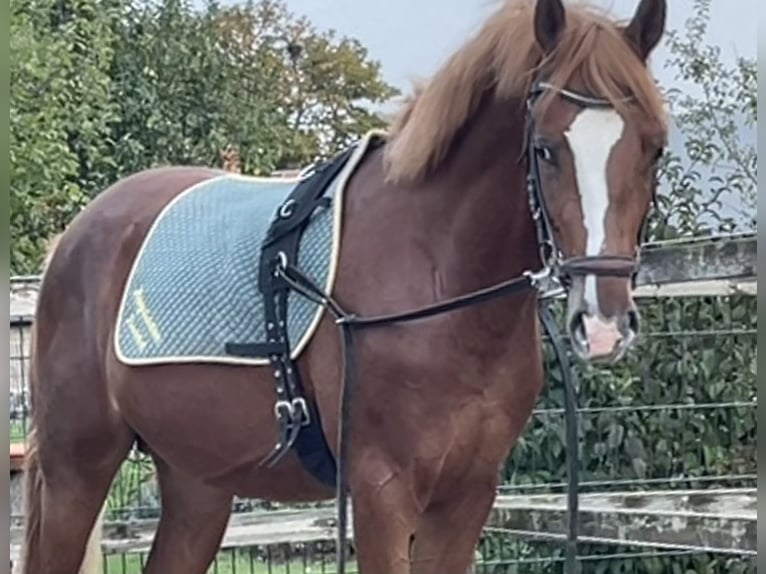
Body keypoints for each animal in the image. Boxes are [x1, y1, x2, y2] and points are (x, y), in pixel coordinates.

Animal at [21, 0, 668, 572]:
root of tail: (74, 236)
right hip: (77, 467)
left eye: (654, 148)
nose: (603, 325)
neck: (435, 275)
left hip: (196, 480)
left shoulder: (467, 495)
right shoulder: (382, 491)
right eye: (544, 149)